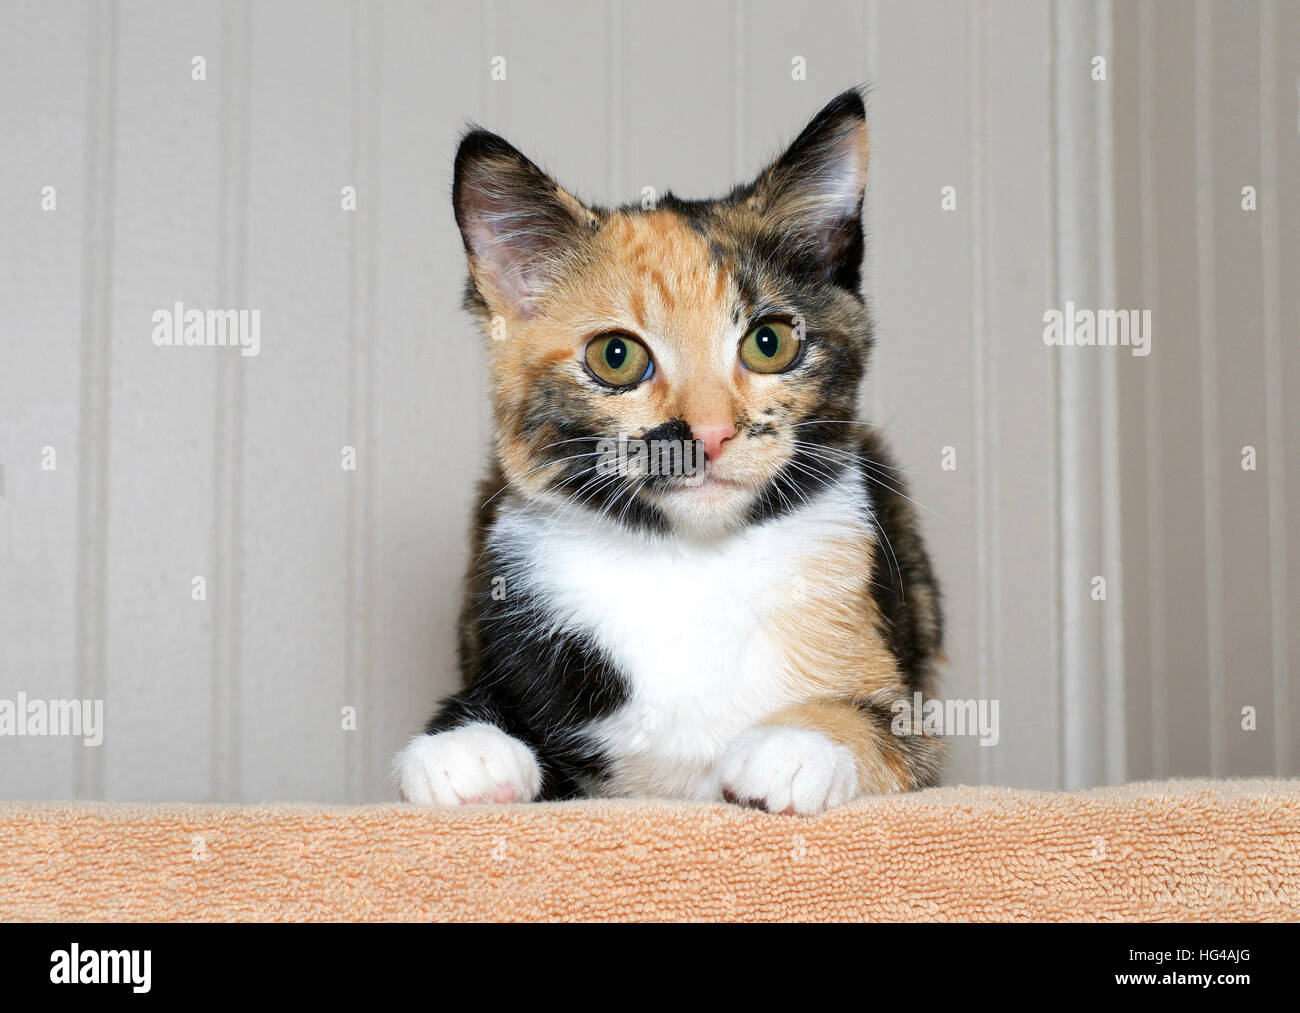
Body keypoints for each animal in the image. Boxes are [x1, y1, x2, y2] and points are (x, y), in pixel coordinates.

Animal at [390, 87, 941, 816]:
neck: (689, 560)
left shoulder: (918, 718)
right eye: (615, 356)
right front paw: (465, 746)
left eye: (770, 343)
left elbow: (881, 722)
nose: (709, 432)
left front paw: (799, 743)